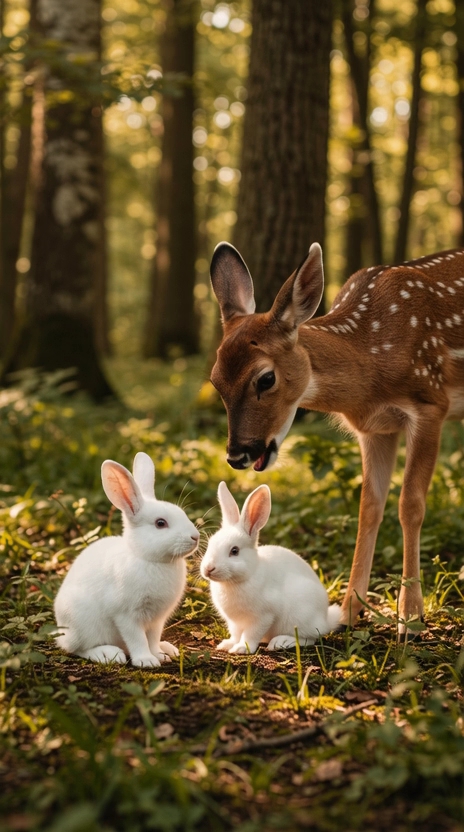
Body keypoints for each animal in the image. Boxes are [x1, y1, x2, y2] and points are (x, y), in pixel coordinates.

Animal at [209, 241, 464, 640]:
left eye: (265, 378)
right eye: (215, 380)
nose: (238, 454)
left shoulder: (430, 404)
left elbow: (410, 505)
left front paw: (410, 618)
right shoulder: (376, 428)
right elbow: (369, 507)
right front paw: (349, 612)